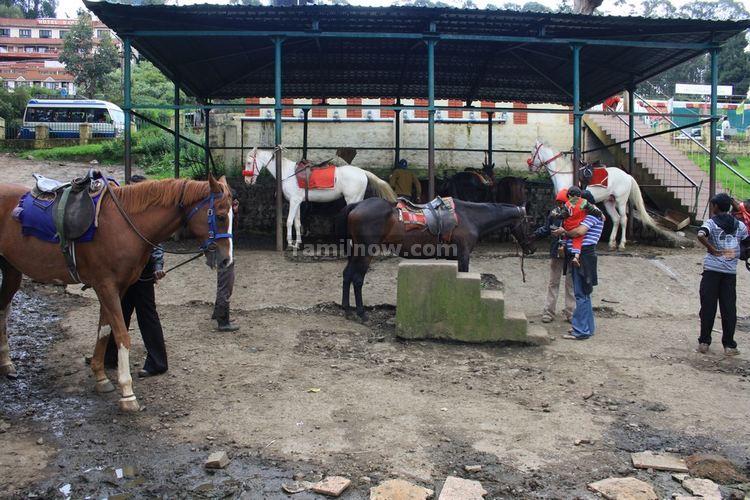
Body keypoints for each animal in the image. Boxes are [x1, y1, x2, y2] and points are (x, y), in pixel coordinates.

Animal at [0, 174, 235, 412]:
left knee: (3, 310)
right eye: (220, 216)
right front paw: (127, 393)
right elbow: (121, 334)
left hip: (11, 269)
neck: (124, 225)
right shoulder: (106, 286)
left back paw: (6, 363)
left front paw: (101, 377)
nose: (227, 260)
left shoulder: (118, 288)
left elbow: (104, 330)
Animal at [245, 148, 400, 250]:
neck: (287, 173)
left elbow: (289, 221)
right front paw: (297, 243)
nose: (247, 181)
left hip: (352, 199)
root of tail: (362, 172)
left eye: (248, 162)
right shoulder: (297, 202)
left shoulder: (294, 202)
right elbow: (297, 222)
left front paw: (289, 244)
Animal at [340, 197, 536, 318]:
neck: (470, 217)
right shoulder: (464, 254)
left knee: (347, 275)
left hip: (356, 250)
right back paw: (361, 313)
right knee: (357, 279)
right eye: (530, 222)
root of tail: (357, 205)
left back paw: (346, 309)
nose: (532, 248)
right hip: (367, 250)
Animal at [528, 140, 664, 250]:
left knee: (623, 219)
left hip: (621, 201)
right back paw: (611, 243)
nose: (530, 168)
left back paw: (621, 244)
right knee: (616, 219)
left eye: (532, 152)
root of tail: (627, 175)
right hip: (609, 202)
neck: (563, 173)